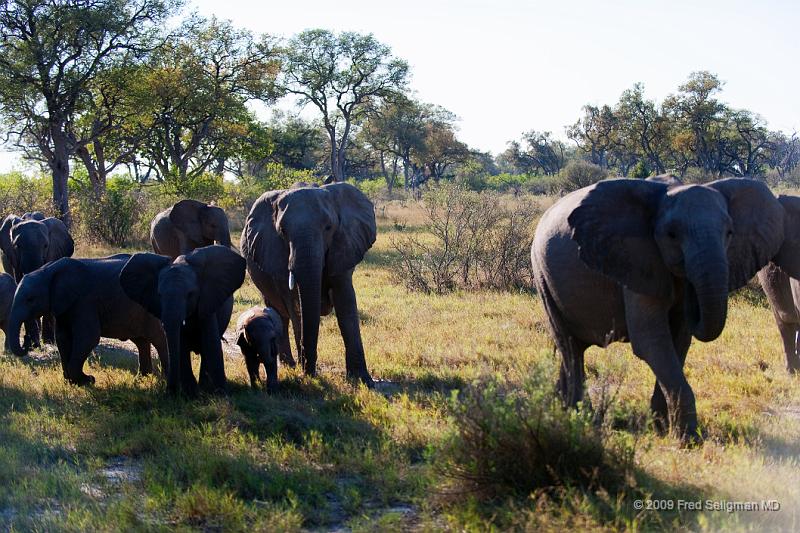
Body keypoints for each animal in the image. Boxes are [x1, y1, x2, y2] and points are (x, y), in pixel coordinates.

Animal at [0, 214, 74, 348]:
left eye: (45, 246)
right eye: (17, 246)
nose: (35, 345)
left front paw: (49, 342)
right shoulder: (15, 261)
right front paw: (33, 343)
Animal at [3, 254, 167, 382]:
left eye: (30, 300)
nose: (26, 340)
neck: (48, 271)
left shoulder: (85, 301)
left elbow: (87, 338)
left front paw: (87, 381)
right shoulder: (64, 305)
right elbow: (63, 337)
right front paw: (71, 381)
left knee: (159, 339)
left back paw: (164, 378)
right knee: (141, 341)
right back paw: (142, 378)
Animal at [119, 245, 247, 394]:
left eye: (190, 294)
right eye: (159, 295)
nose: (169, 392)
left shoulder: (207, 302)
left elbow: (210, 343)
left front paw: (220, 394)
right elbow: (181, 345)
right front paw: (190, 394)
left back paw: (205, 387)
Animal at [241, 181, 378, 384]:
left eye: (329, 227)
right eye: (282, 231)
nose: (309, 373)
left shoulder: (344, 246)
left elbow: (346, 302)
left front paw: (362, 380)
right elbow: (296, 305)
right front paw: (307, 373)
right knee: (279, 313)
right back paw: (290, 365)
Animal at [532, 177, 788, 438]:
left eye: (729, 233)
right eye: (672, 235)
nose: (694, 300)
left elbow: (679, 340)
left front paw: (662, 428)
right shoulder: (636, 259)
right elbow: (651, 340)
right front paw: (687, 438)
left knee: (572, 350)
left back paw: (561, 408)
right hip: (542, 275)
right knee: (569, 346)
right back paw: (580, 419)